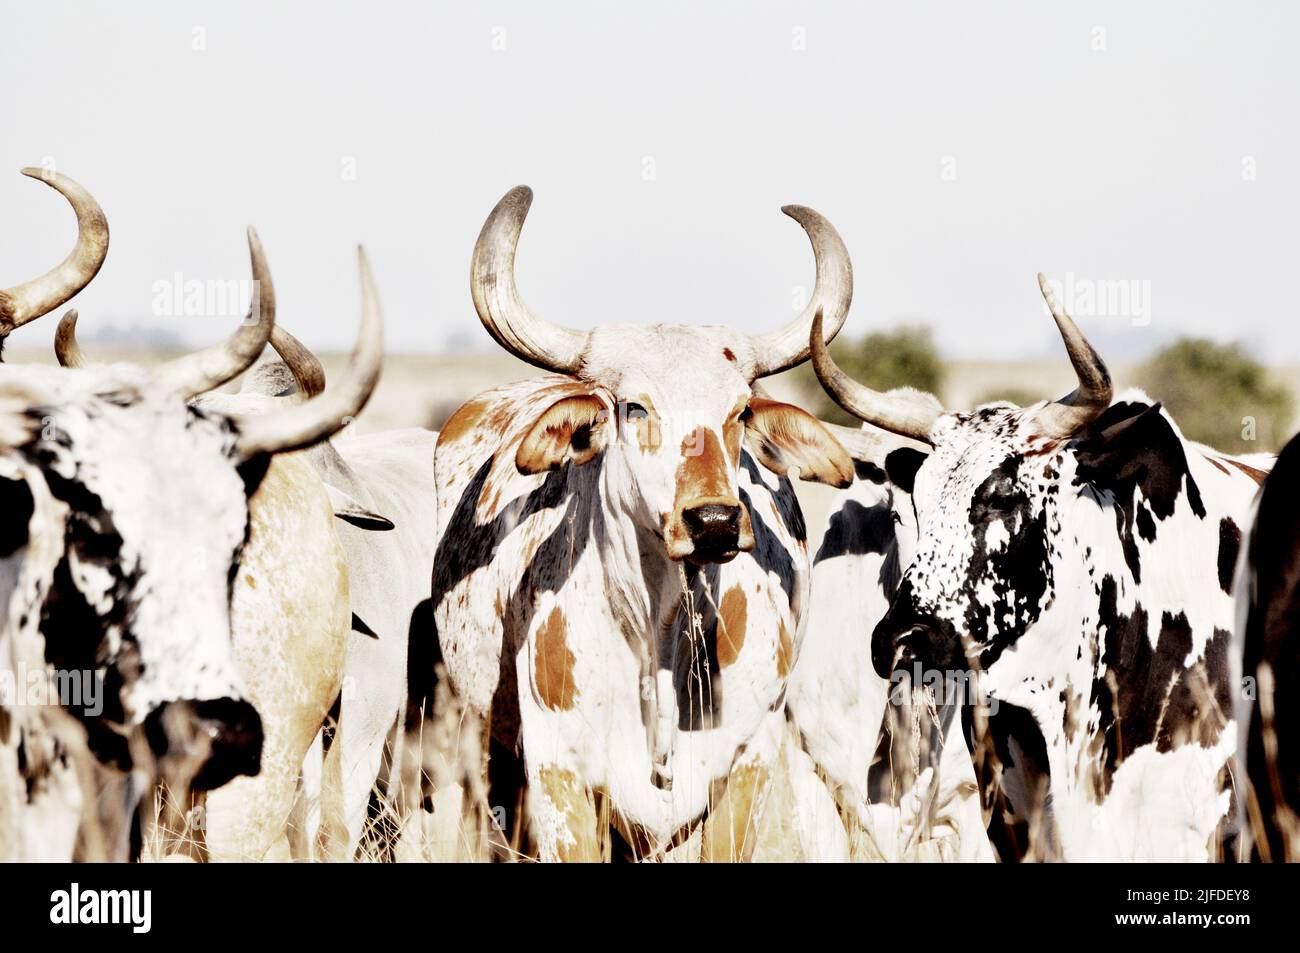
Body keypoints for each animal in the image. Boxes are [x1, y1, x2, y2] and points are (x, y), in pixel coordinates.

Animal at [432, 186, 858, 861]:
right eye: (634, 407)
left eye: (739, 411)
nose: (713, 521)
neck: (657, 631)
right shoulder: (559, 777)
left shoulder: (745, 767)